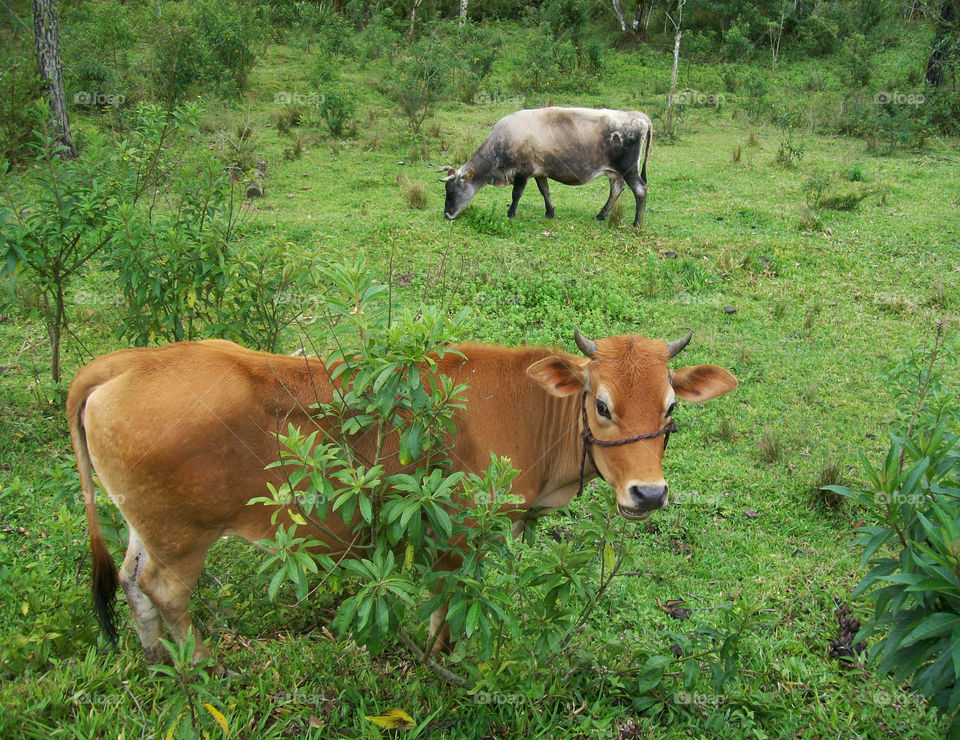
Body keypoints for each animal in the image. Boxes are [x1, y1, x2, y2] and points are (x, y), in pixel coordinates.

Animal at [68, 329, 736, 670]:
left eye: (669, 409)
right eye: (601, 404)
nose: (649, 494)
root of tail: (123, 364)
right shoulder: (464, 532)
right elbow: (450, 608)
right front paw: (442, 666)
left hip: (147, 527)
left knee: (131, 581)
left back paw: (159, 661)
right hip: (183, 538)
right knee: (166, 592)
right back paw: (204, 665)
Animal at [440, 107, 653, 227]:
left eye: (452, 191)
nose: (447, 214)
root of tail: (637, 115)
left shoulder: (523, 171)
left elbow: (516, 194)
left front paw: (511, 214)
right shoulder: (539, 172)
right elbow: (545, 191)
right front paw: (550, 212)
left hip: (628, 169)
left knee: (640, 189)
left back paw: (636, 222)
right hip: (614, 172)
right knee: (616, 189)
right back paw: (601, 215)